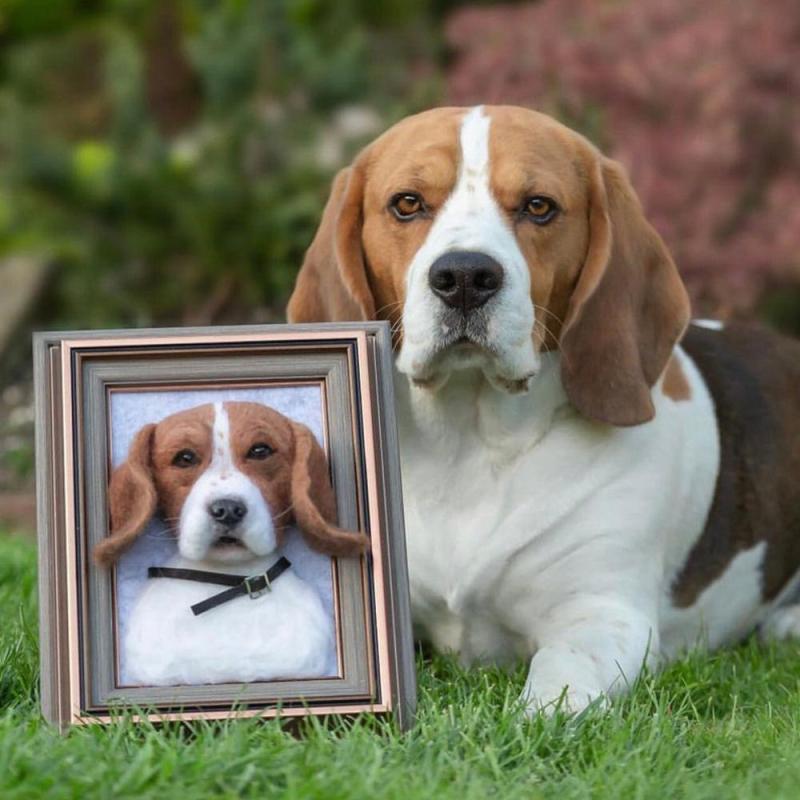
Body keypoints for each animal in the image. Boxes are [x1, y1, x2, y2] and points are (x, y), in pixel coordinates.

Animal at [287, 104, 800, 713]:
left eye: (538, 206)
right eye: (407, 203)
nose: (464, 277)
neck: (467, 448)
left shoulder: (602, 615)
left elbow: (556, 683)